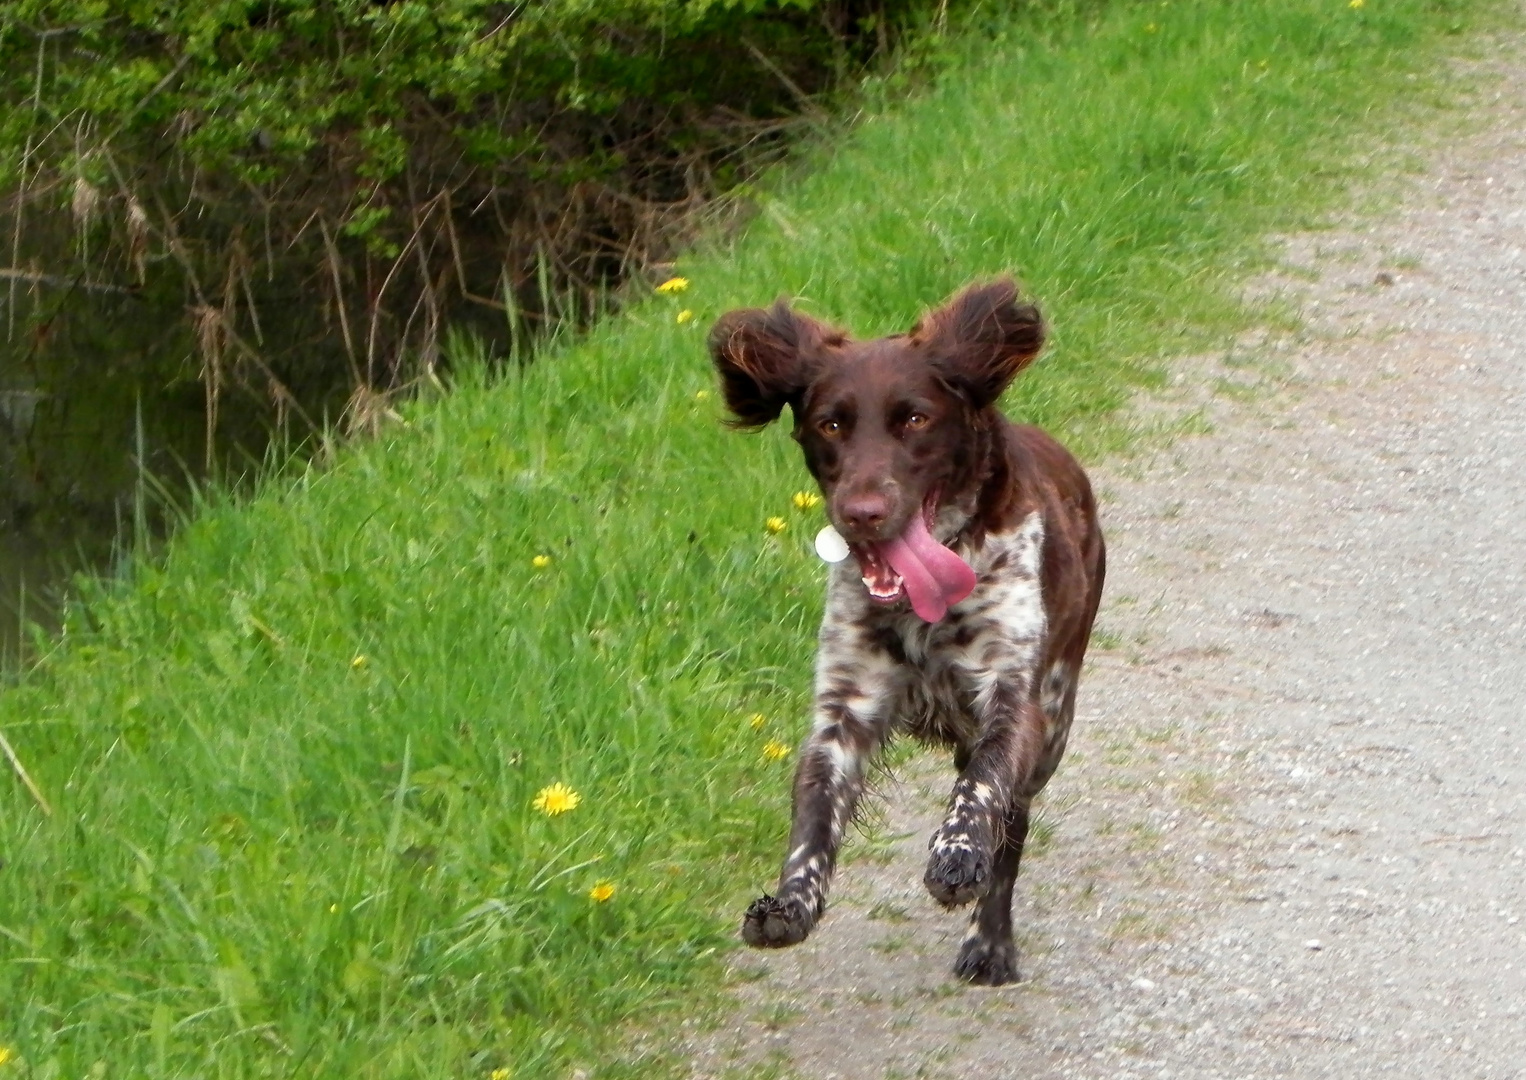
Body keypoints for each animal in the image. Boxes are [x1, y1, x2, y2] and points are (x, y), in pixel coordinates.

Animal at [708, 274, 1104, 982]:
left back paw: (989, 940)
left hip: (1056, 718)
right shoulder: (844, 711)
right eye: (831, 423)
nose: (862, 511)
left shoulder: (1014, 696)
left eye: (915, 419)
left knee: (1013, 820)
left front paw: (957, 852)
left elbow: (983, 786)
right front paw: (790, 902)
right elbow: (813, 817)